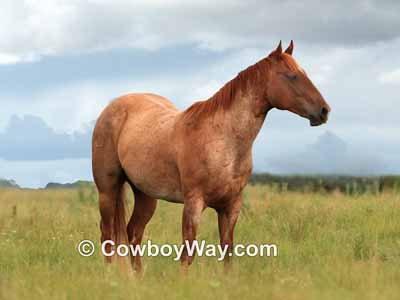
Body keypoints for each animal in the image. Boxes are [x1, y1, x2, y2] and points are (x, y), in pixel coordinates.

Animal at [91, 41, 332, 274]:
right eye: (292, 76)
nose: (324, 111)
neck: (222, 141)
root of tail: (113, 107)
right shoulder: (193, 204)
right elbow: (187, 254)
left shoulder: (231, 207)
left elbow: (227, 253)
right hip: (107, 190)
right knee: (107, 234)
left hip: (146, 195)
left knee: (134, 232)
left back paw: (137, 278)